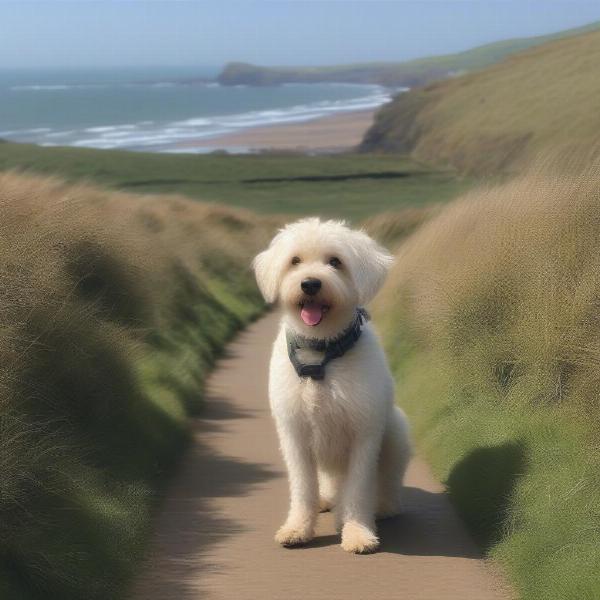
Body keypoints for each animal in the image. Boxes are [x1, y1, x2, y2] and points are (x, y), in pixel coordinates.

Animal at [253, 219, 412, 552]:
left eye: (335, 261)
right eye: (295, 261)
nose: (310, 284)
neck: (322, 353)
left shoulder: (364, 432)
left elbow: (359, 488)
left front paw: (357, 532)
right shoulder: (295, 434)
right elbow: (303, 487)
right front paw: (298, 528)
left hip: (396, 431)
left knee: (386, 482)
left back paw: (382, 507)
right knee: (327, 485)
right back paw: (327, 501)